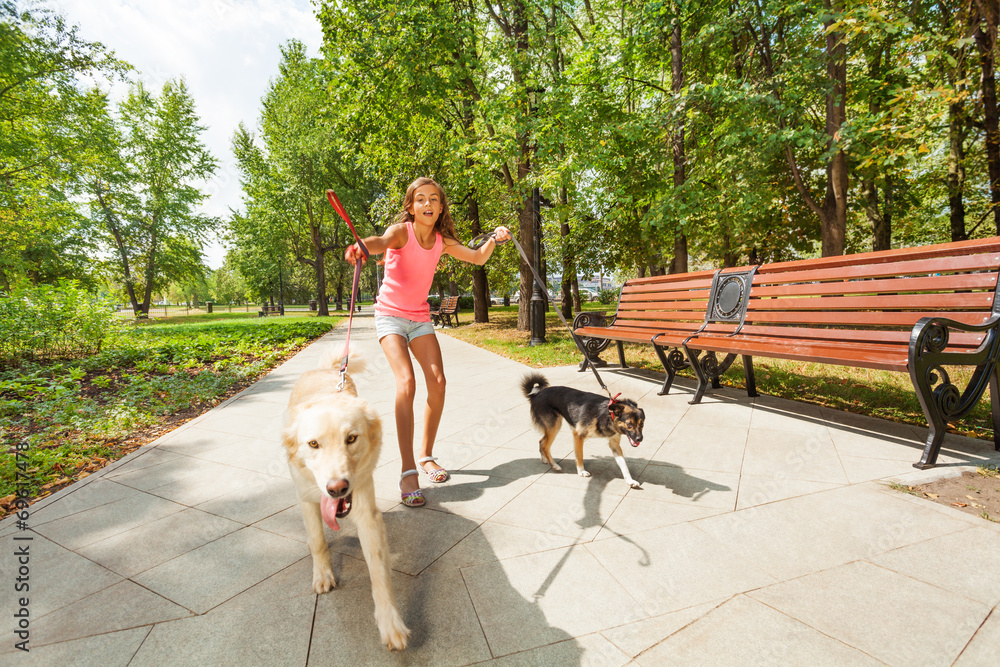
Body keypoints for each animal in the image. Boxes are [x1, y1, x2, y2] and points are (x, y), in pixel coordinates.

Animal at [282, 350, 410, 652]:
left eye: (351, 438)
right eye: (313, 444)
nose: (337, 489)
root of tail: (326, 369)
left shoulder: (366, 511)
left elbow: (379, 570)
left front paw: (390, 622)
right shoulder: (306, 498)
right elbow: (318, 540)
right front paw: (323, 575)